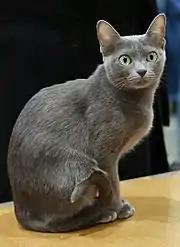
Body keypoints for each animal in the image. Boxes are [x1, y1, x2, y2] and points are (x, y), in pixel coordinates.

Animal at [8, 13, 166, 233]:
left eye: (151, 56)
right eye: (125, 59)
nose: (142, 71)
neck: (137, 100)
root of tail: (21, 213)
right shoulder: (104, 153)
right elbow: (114, 182)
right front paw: (118, 208)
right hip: (80, 168)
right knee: (57, 221)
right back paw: (101, 213)